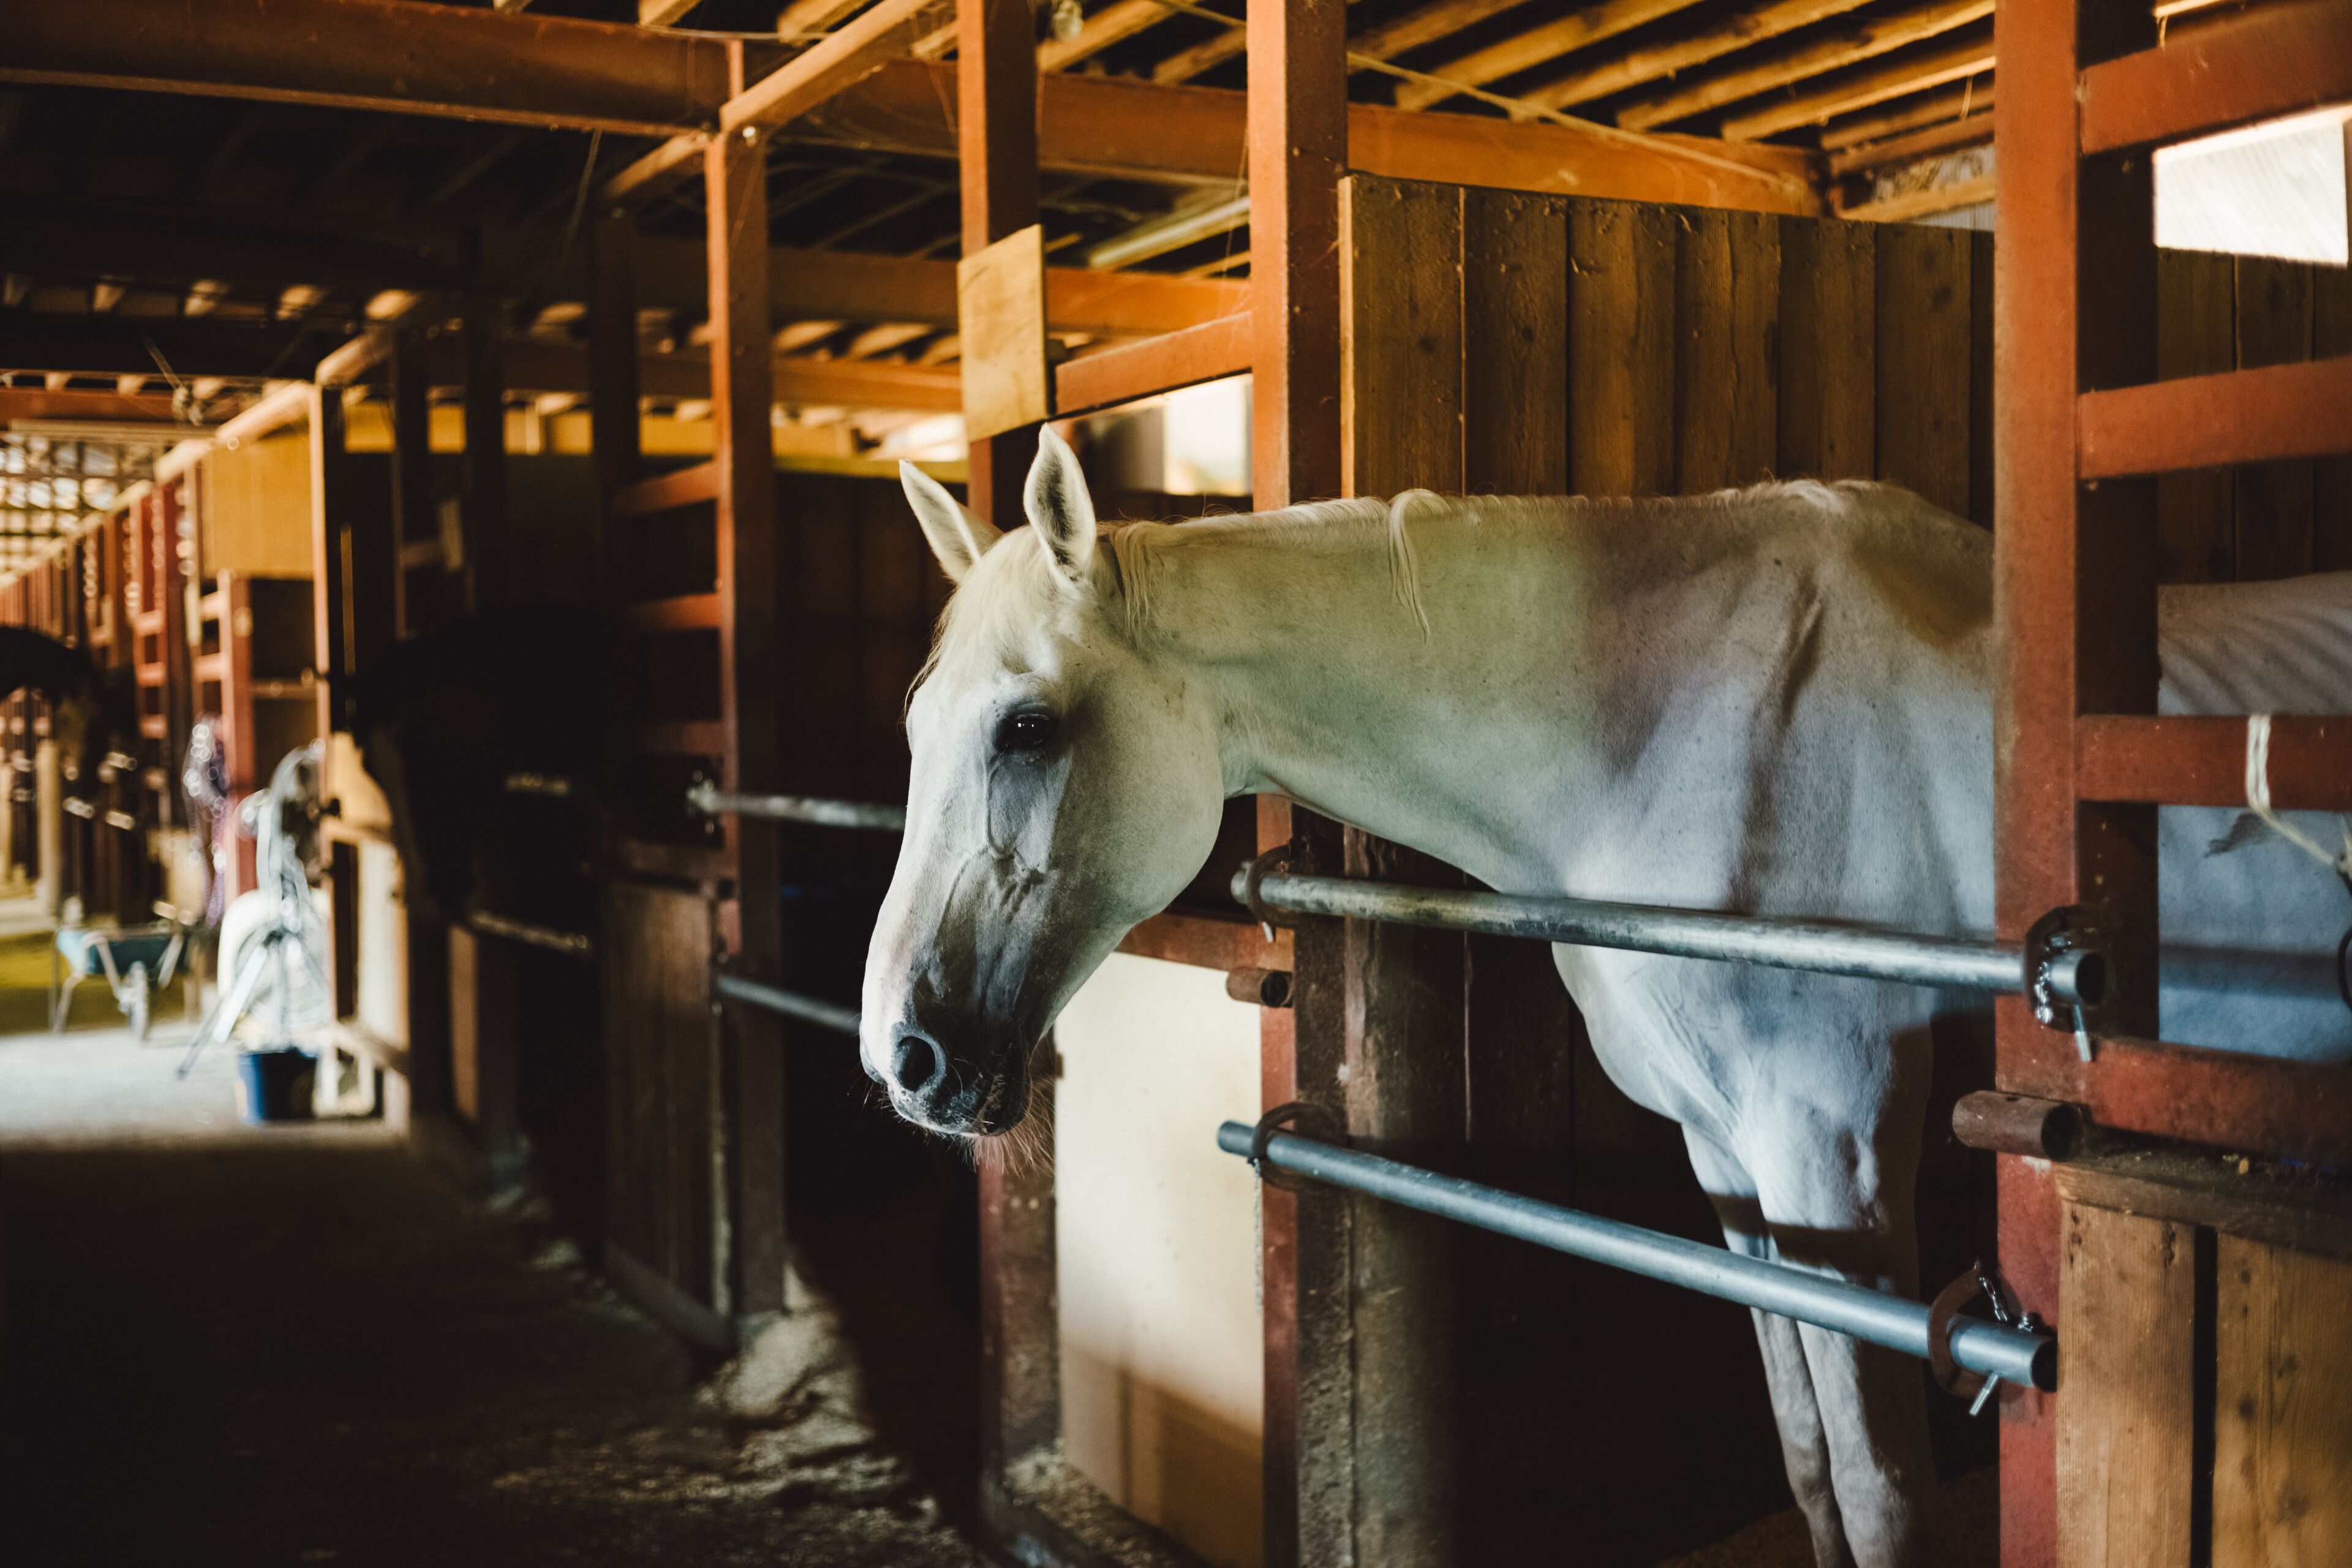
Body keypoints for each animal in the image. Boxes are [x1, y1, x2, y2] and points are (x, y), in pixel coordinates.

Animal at [860, 429, 2352, 1566]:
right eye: (917, 725)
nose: (903, 1058)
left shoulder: (1838, 1157)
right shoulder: (1738, 1171)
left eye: (1028, 726)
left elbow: (1886, 1504)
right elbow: (1812, 1466)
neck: (1672, 733)